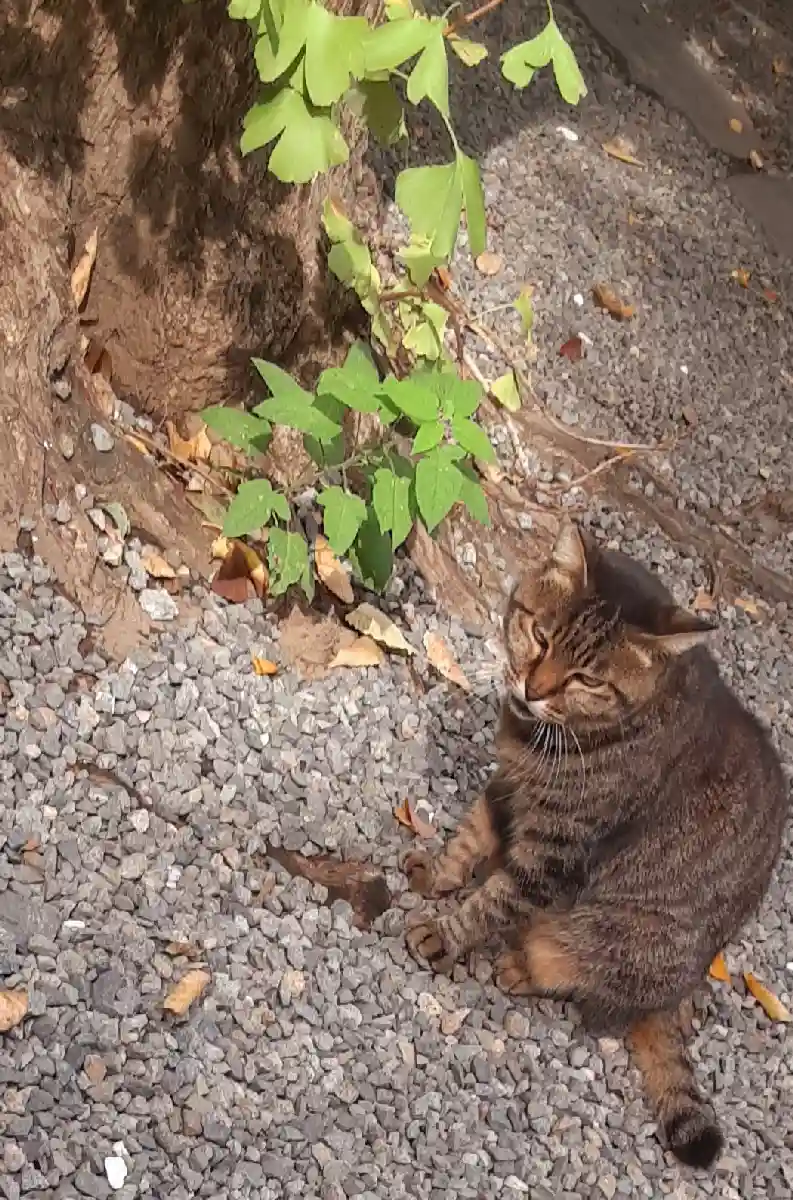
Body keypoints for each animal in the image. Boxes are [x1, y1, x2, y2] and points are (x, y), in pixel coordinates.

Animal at [404, 519, 789, 1168]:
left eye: (587, 678)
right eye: (540, 634)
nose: (533, 689)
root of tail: (678, 993)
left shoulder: (553, 852)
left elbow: (494, 900)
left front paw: (445, 933)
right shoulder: (508, 784)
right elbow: (470, 837)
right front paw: (437, 874)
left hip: (609, 934)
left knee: (586, 986)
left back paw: (522, 966)